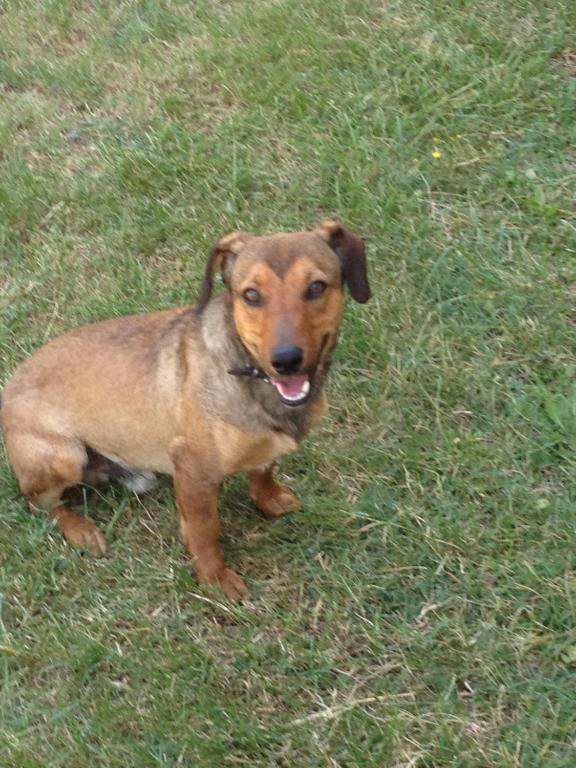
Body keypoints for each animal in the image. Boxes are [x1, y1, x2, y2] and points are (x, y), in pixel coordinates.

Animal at [1, 219, 368, 596]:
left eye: (316, 287)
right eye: (251, 295)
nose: (286, 360)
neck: (248, 375)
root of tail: (9, 387)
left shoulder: (262, 449)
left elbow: (264, 470)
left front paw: (270, 500)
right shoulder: (191, 468)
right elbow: (205, 530)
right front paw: (215, 579)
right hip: (66, 456)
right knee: (36, 502)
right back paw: (81, 530)